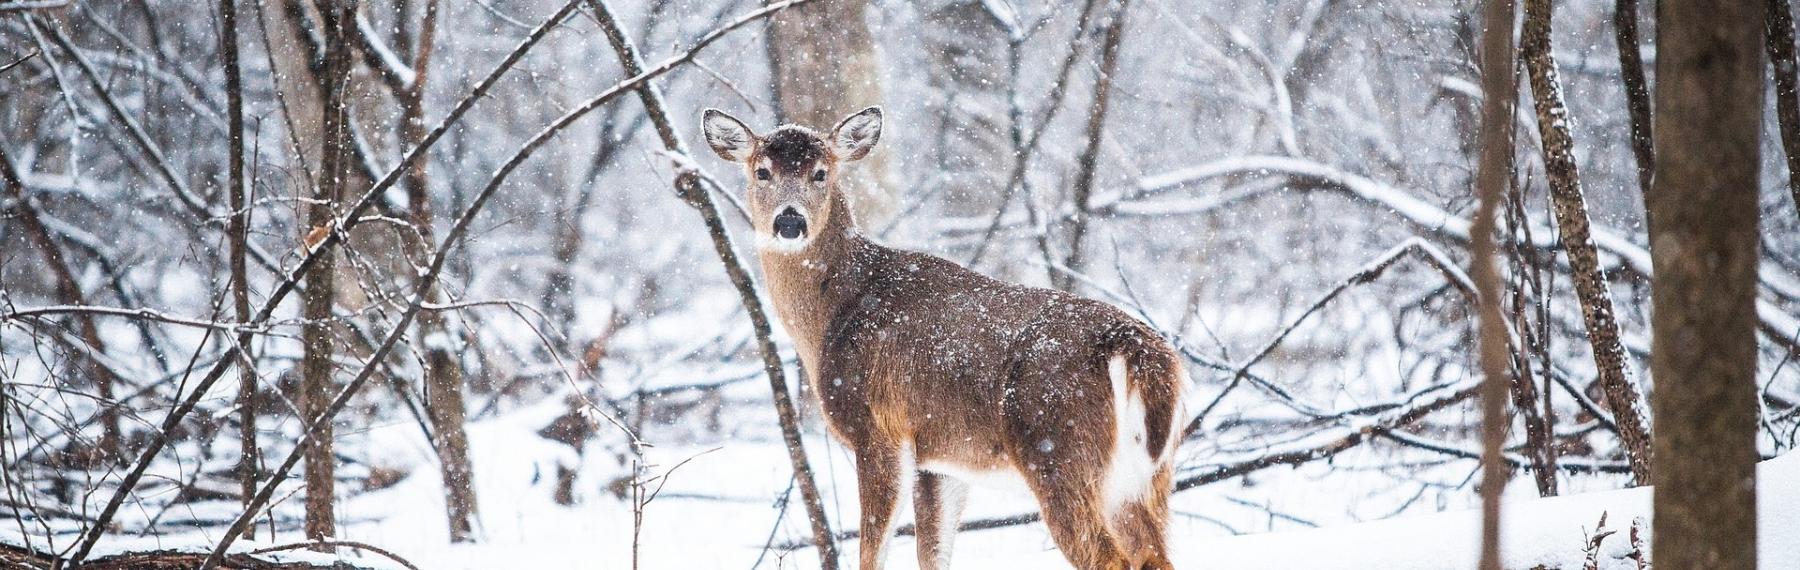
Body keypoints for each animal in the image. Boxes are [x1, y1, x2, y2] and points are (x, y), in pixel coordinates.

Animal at [698, 106, 1180, 568]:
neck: (833, 314)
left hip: (1058, 448)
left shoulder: (879, 429)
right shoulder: (942, 461)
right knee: (1154, 555)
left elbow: (873, 552)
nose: (790, 222)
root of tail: (1134, 347)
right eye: (762, 171)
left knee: (1109, 556)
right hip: (1144, 478)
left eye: (821, 172)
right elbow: (932, 554)